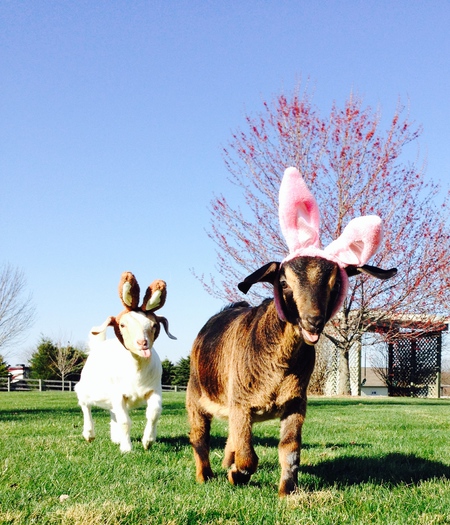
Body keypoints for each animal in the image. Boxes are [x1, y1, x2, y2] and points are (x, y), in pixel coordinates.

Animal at [74, 270, 175, 450]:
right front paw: (127, 449)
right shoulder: (117, 394)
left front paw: (148, 441)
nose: (142, 343)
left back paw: (116, 438)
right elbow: (125, 421)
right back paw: (89, 434)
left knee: (113, 413)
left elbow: (153, 413)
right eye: (122, 325)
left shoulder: (154, 390)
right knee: (85, 403)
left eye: (154, 325)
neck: (137, 368)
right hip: (87, 386)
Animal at [185, 256, 394, 496]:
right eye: (283, 283)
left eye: (336, 285)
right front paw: (236, 475)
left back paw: (227, 462)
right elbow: (247, 456)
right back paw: (205, 476)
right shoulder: (240, 401)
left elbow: (290, 448)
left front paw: (287, 490)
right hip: (196, 395)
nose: (313, 321)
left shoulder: (295, 402)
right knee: (199, 436)